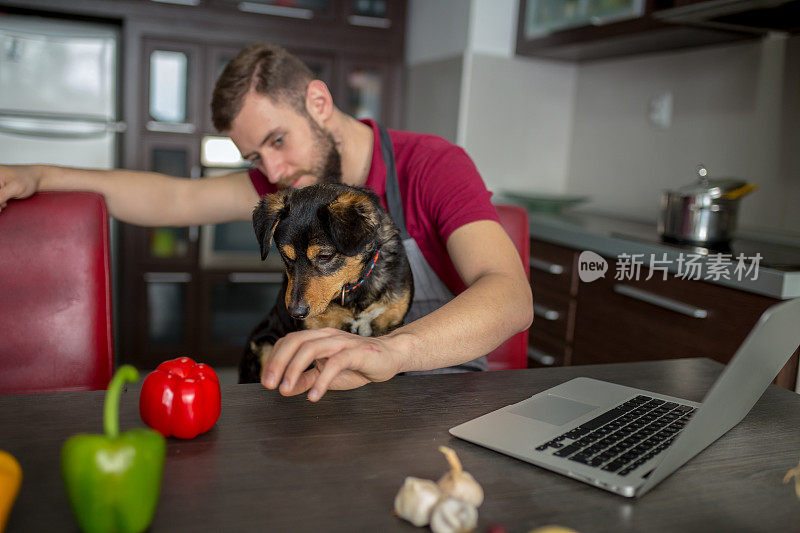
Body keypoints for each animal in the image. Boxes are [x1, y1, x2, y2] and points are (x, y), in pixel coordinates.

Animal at [236, 183, 412, 382]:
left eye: (325, 256)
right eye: (285, 256)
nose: (296, 313)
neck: (352, 291)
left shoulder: (390, 321)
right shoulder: (311, 332)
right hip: (263, 344)